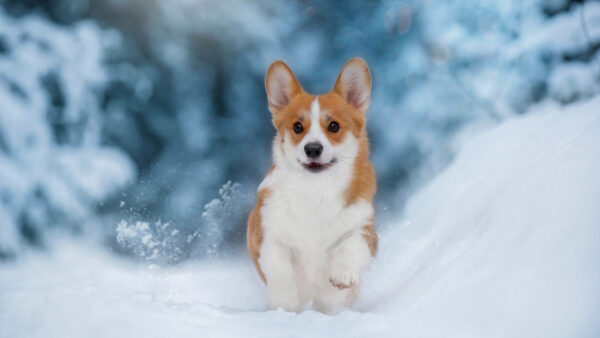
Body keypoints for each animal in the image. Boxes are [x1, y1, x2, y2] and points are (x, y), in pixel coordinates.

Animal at [246, 58, 378, 314]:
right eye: (298, 127)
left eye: (334, 126)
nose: (313, 148)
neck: (316, 189)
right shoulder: (266, 233)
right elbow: (279, 266)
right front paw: (285, 305)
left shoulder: (364, 229)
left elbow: (350, 245)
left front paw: (342, 276)